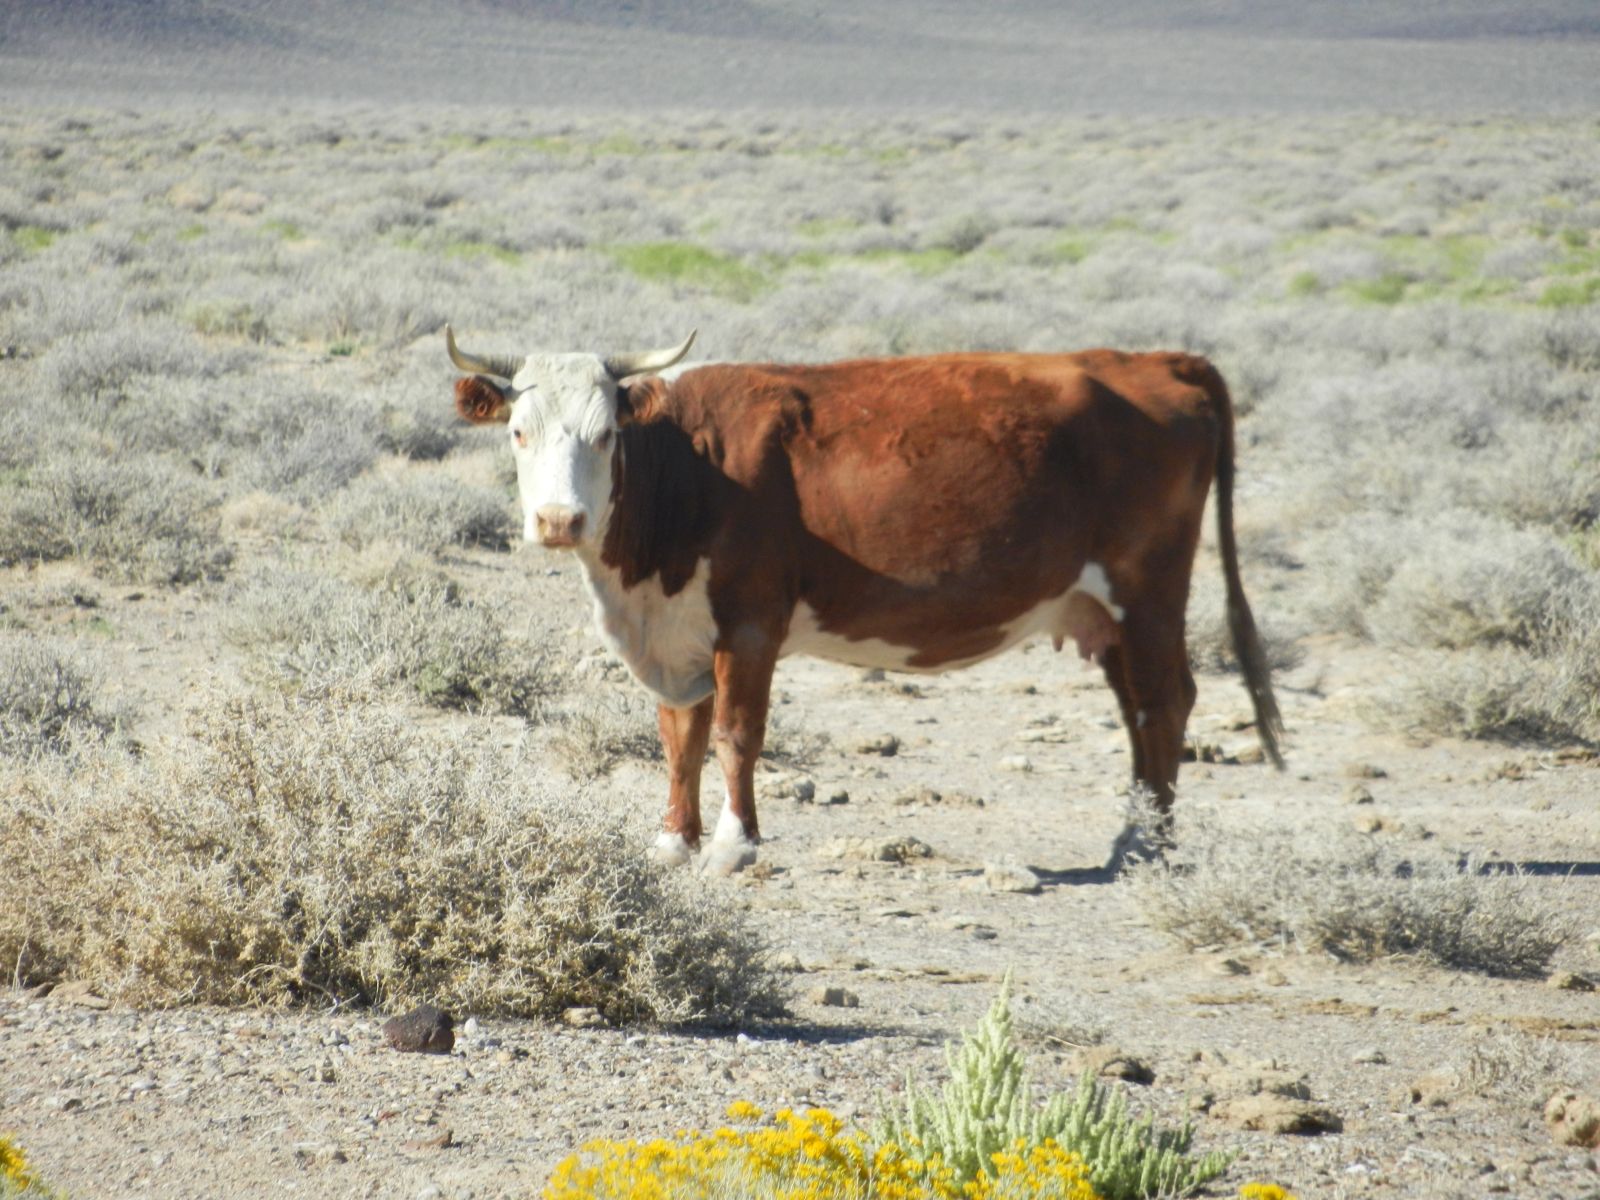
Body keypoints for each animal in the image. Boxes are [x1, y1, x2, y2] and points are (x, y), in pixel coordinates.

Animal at [447, 326, 1283, 875]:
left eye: (604, 434)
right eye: (518, 432)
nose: (559, 521)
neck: (688, 470)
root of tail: (1157, 359)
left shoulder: (750, 622)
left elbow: (734, 734)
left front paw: (734, 844)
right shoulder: (675, 631)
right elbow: (679, 737)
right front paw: (673, 839)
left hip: (1149, 588)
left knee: (1164, 701)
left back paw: (1148, 846)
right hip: (1103, 607)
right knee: (1137, 708)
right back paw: (1134, 833)